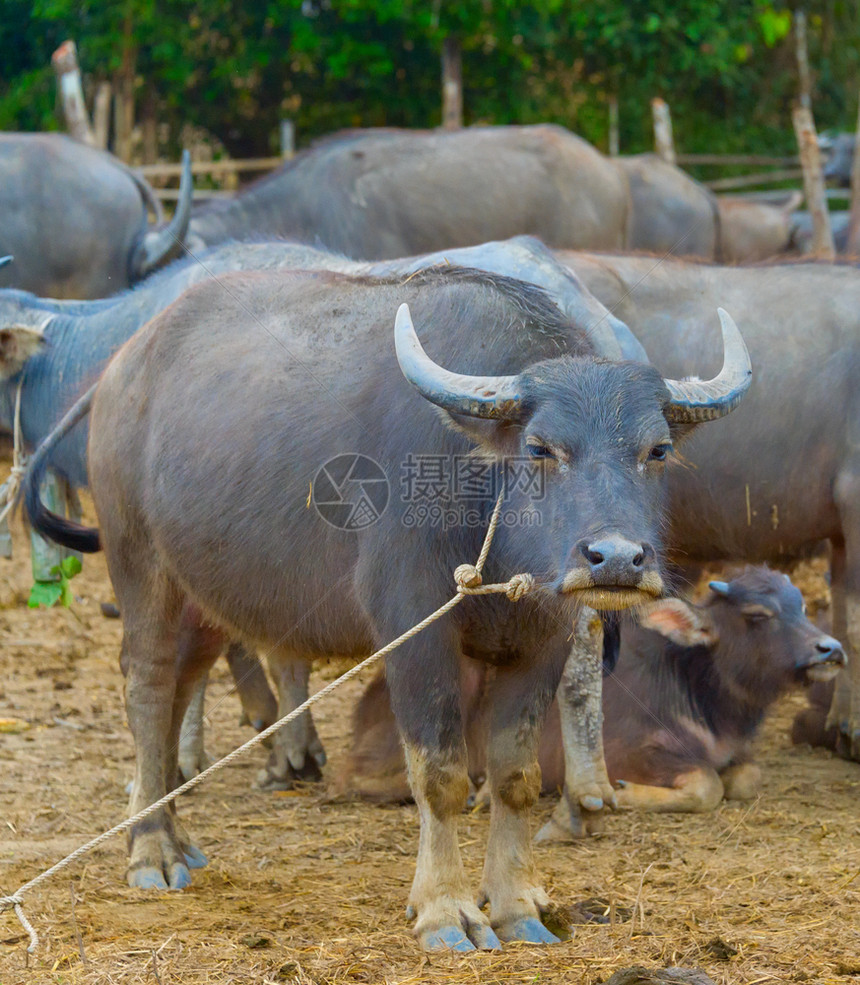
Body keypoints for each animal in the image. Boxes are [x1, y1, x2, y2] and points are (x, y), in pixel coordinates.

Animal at [25, 266, 752, 948]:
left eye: (657, 450)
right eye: (541, 448)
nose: (617, 558)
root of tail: (122, 369)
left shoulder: (540, 642)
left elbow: (515, 775)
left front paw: (516, 905)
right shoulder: (414, 631)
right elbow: (441, 774)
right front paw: (446, 911)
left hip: (206, 595)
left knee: (181, 681)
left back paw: (176, 838)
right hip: (139, 562)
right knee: (148, 687)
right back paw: (150, 849)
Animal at [340, 564, 844, 812]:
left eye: (800, 605)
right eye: (757, 616)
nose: (831, 650)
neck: (696, 689)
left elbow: (745, 778)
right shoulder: (633, 749)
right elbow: (708, 785)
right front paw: (623, 793)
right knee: (365, 775)